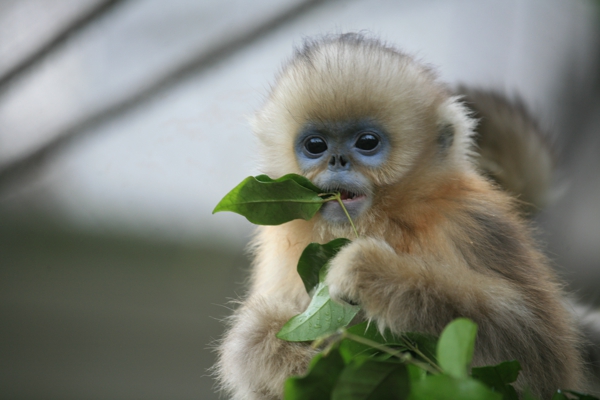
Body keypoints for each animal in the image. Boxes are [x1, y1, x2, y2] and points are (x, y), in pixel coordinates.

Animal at [217, 34, 584, 400]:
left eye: (367, 142)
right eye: (315, 145)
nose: (337, 160)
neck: (382, 215)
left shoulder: (472, 220)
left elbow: (536, 348)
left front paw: (374, 273)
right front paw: (269, 343)